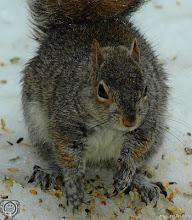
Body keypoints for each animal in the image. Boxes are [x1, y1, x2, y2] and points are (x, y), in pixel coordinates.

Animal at [22, 0, 168, 210]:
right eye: (101, 91)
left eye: (146, 88)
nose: (130, 121)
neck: (108, 126)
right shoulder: (66, 124)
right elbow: (68, 156)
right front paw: (74, 188)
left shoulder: (147, 125)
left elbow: (136, 150)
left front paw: (125, 175)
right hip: (39, 130)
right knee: (55, 158)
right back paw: (51, 171)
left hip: (157, 138)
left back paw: (141, 182)